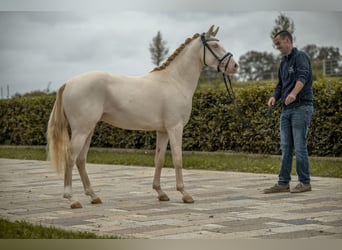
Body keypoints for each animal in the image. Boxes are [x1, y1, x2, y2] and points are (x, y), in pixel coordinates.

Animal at [46, 25, 239, 209]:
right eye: (215, 46)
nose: (235, 66)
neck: (175, 81)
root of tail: (69, 83)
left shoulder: (163, 131)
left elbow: (159, 159)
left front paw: (161, 193)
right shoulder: (175, 128)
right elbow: (177, 159)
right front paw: (185, 194)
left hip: (89, 129)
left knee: (80, 159)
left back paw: (93, 196)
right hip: (81, 130)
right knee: (70, 157)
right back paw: (72, 199)